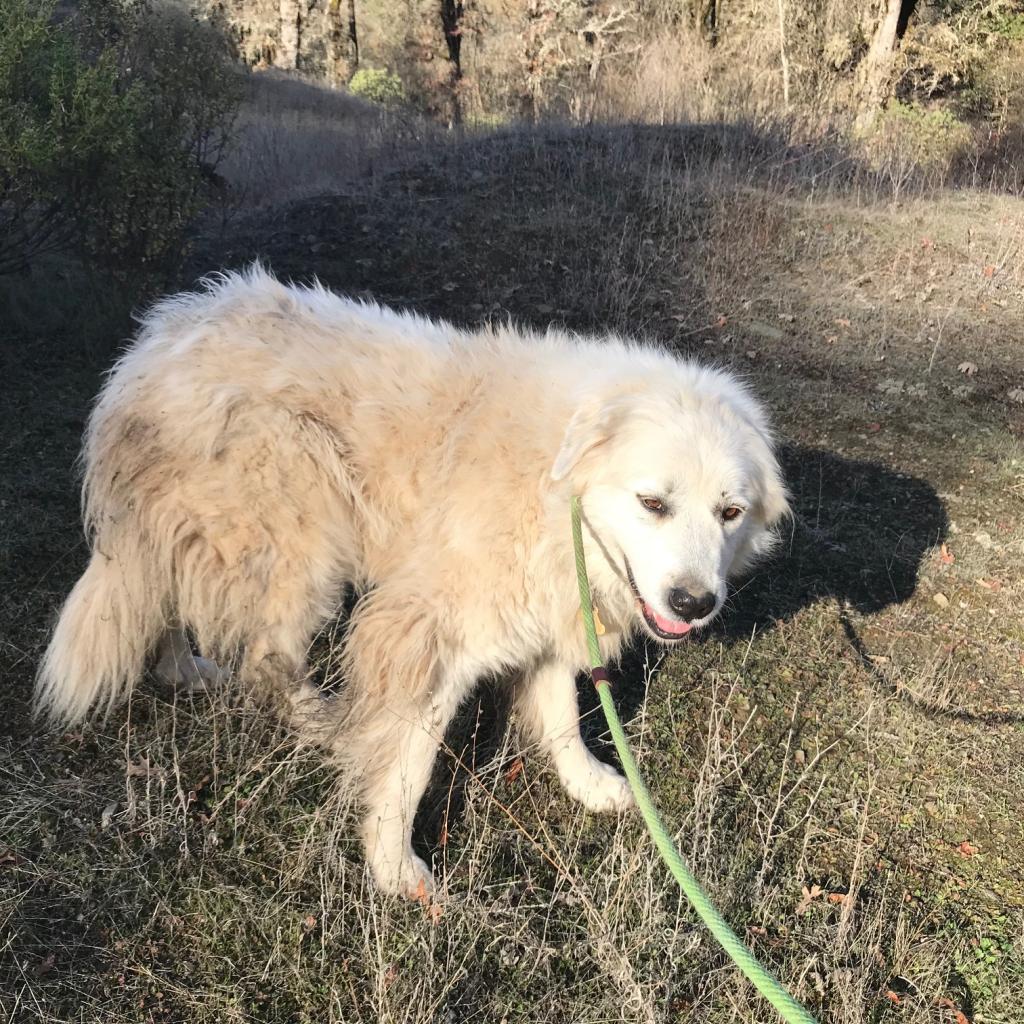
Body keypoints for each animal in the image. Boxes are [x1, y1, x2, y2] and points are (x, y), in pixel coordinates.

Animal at [36, 264, 786, 897]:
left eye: (729, 512)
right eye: (652, 503)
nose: (694, 603)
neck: (552, 483)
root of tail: (153, 348)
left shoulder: (542, 615)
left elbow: (563, 715)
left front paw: (592, 787)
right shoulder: (427, 637)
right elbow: (408, 766)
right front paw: (396, 872)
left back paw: (184, 671)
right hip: (308, 523)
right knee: (266, 659)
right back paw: (325, 721)